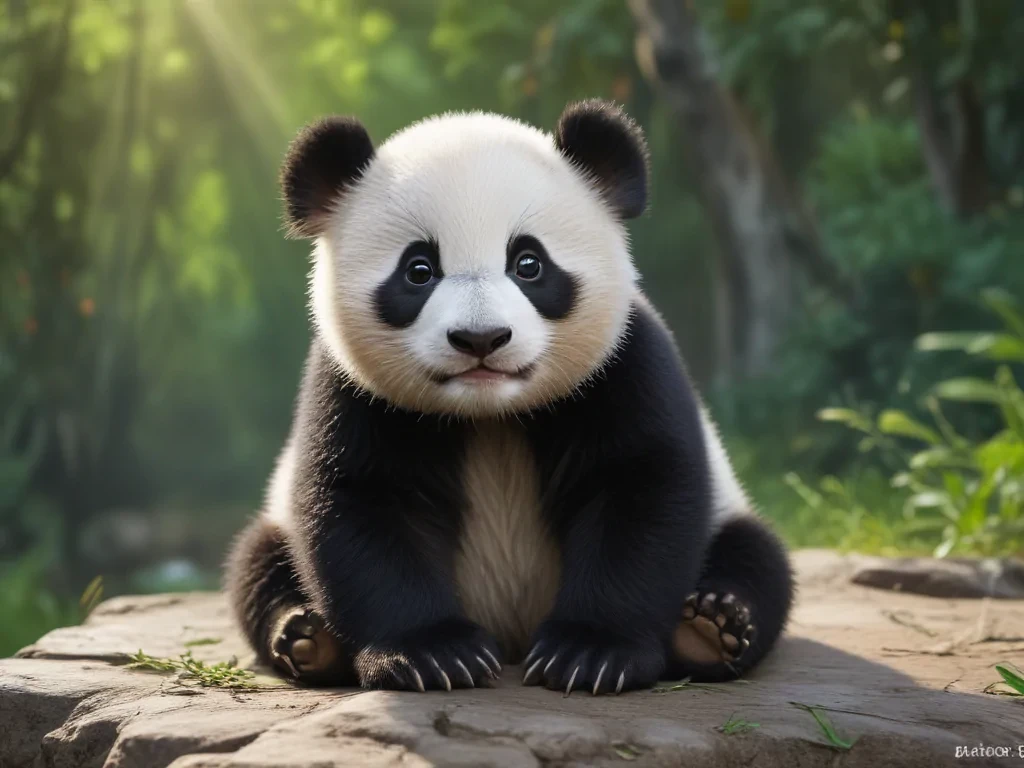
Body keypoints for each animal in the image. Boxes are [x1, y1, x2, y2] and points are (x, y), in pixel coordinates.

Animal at [225, 99, 793, 695]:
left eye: (528, 263)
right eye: (419, 270)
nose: (481, 338)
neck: (489, 413)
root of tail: (512, 633)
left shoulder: (625, 363)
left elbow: (641, 490)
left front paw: (589, 654)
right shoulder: (354, 393)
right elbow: (362, 505)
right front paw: (433, 654)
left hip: (730, 514)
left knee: (756, 556)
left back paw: (711, 626)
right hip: (275, 526)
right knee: (256, 565)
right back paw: (308, 637)